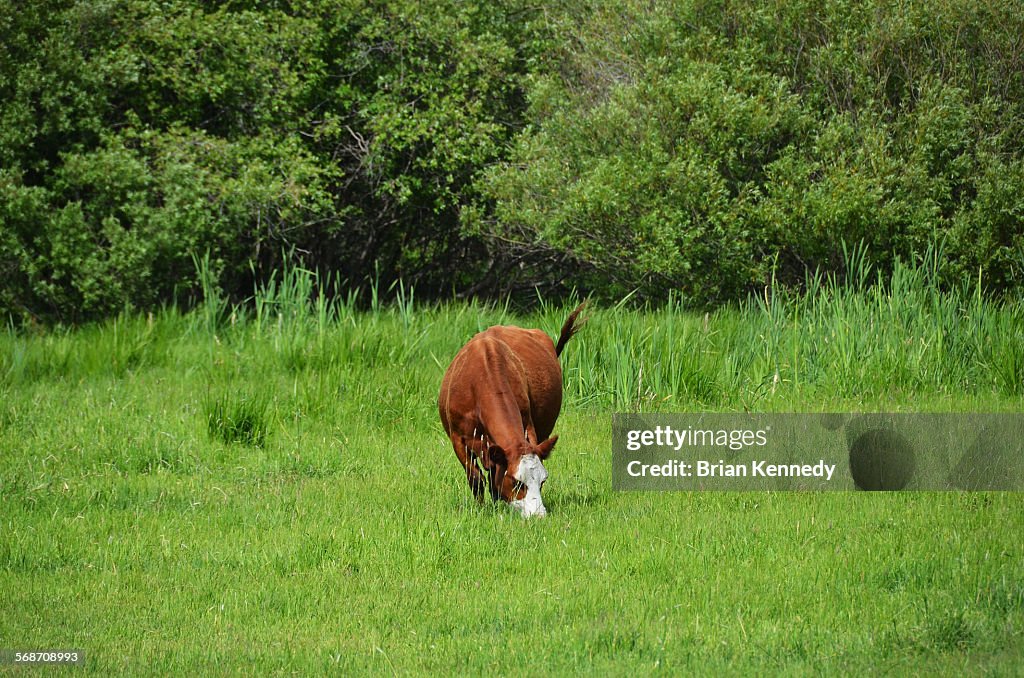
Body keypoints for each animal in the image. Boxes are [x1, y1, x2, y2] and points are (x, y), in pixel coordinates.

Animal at [438, 303, 589, 520]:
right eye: (518, 482)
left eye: (543, 481)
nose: (539, 515)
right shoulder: (457, 439)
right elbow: (475, 478)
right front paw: (481, 508)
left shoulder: (528, 427)